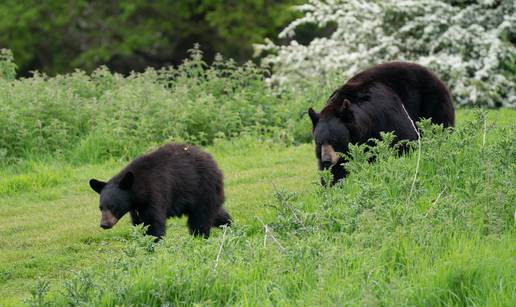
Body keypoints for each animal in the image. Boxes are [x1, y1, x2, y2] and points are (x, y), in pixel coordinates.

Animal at [88, 144, 230, 241]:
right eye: (101, 207)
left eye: (113, 206)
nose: (104, 224)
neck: (138, 189)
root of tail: (214, 163)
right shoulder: (136, 208)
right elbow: (139, 223)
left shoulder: (156, 192)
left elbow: (153, 222)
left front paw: (152, 242)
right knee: (215, 214)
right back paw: (228, 226)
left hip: (203, 188)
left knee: (201, 218)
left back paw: (200, 237)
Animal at [308, 61, 454, 184]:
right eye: (319, 142)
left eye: (334, 140)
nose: (326, 160)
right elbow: (335, 171)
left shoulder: (385, 114)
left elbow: (403, 140)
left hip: (432, 104)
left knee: (438, 129)